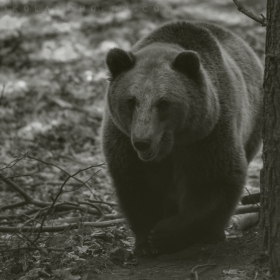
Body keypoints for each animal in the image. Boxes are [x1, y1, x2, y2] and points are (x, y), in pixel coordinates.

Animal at [101, 20, 264, 255]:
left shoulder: (208, 134)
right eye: (131, 101)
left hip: (253, 122)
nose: (142, 142)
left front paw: (165, 233)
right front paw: (145, 241)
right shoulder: (123, 141)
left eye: (163, 103)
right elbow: (137, 188)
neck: (170, 145)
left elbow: (215, 179)